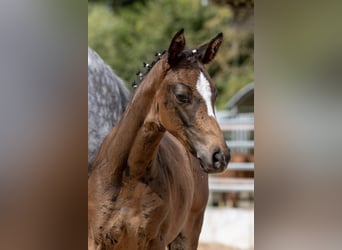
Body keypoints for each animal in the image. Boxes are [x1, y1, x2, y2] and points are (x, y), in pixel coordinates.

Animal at [89, 29, 230, 250]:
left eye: (214, 94)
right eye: (181, 95)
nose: (220, 156)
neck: (129, 177)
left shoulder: (155, 241)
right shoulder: (95, 240)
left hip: (188, 234)